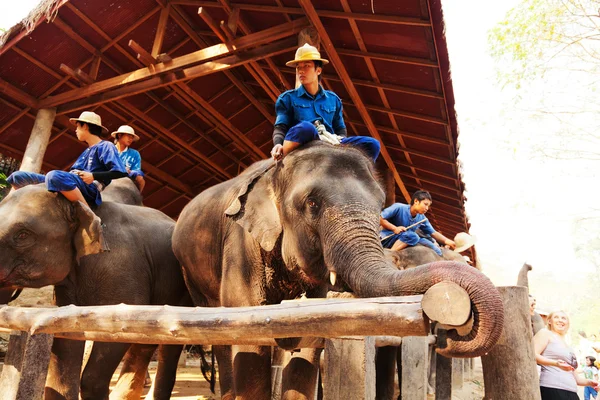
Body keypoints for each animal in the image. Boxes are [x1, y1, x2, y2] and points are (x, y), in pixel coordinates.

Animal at [173, 141, 506, 400]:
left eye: (379, 205)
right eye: (312, 204)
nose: (453, 325)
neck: (274, 172)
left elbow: (311, 328)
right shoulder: (241, 242)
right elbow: (246, 323)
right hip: (191, 274)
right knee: (217, 331)